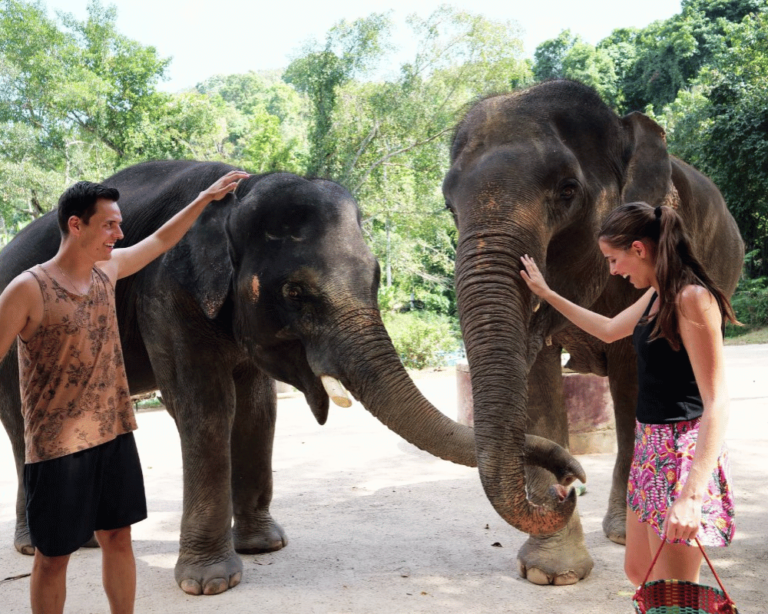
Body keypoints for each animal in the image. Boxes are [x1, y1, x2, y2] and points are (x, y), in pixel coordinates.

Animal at [0, 159, 584, 596]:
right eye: (296, 293)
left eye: (376, 276)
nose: (570, 483)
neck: (237, 200)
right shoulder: (164, 293)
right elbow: (204, 407)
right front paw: (209, 584)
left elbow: (259, 409)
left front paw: (265, 546)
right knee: (25, 427)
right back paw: (36, 546)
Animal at [440, 80, 748, 588]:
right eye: (449, 206)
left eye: (568, 190)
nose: (568, 489)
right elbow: (539, 380)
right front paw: (550, 574)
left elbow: (633, 373)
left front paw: (624, 535)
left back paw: (629, 531)